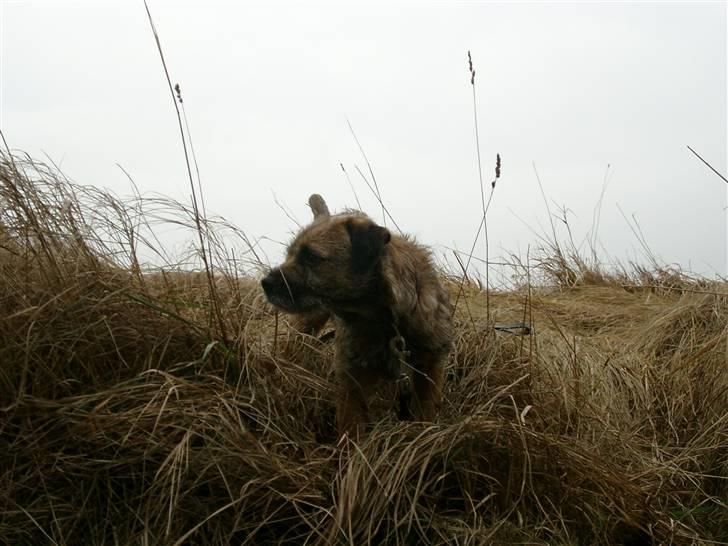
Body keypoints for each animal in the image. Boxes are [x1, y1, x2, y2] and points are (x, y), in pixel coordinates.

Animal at [262, 193, 452, 436]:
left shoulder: (430, 366)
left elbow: (426, 413)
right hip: (306, 323)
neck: (383, 319)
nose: (265, 283)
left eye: (312, 257)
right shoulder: (351, 379)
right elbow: (351, 428)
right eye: (290, 255)